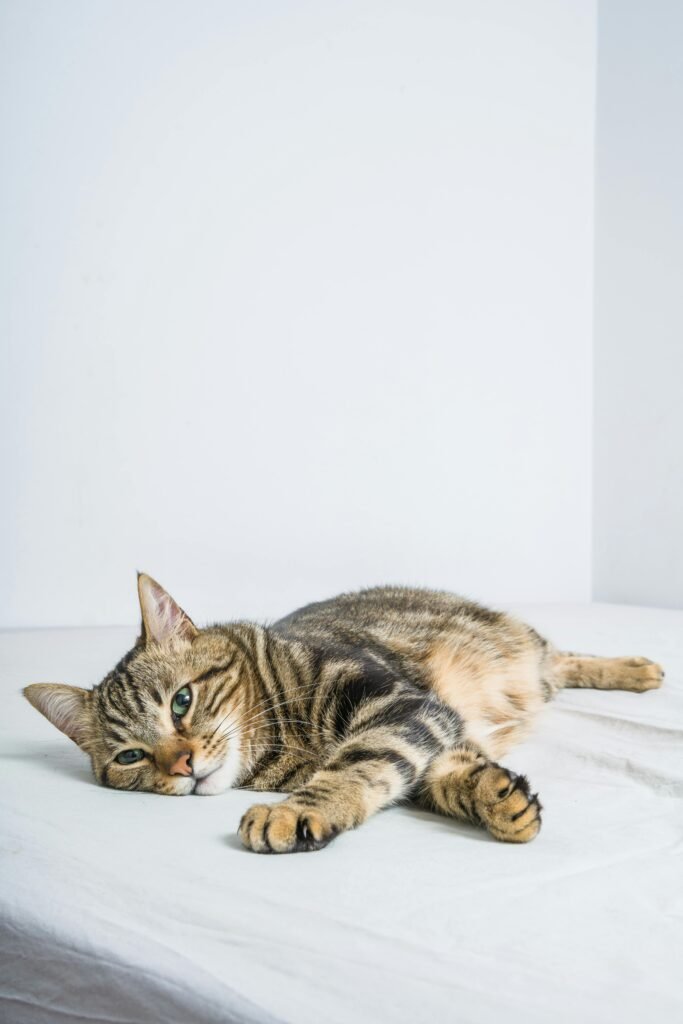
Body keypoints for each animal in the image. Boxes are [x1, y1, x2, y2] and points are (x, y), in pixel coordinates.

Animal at [24, 573, 663, 851]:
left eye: (181, 701)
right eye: (131, 757)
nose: (181, 765)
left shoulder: (398, 702)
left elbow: (359, 762)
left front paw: (296, 811)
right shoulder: (433, 728)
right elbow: (437, 774)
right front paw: (496, 798)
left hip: (522, 646)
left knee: (563, 656)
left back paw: (637, 669)